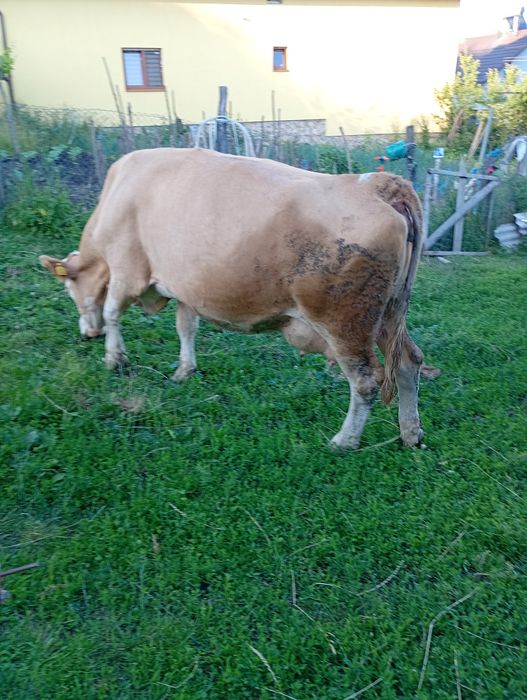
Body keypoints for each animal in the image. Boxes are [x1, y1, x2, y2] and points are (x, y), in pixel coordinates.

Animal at [40, 148, 424, 450]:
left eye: (68, 289)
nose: (87, 334)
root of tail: (377, 185)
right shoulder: (186, 287)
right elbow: (186, 327)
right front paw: (184, 370)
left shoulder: (126, 270)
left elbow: (112, 312)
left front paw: (114, 358)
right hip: (389, 314)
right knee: (409, 362)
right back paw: (411, 434)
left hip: (346, 323)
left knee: (365, 382)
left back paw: (344, 441)